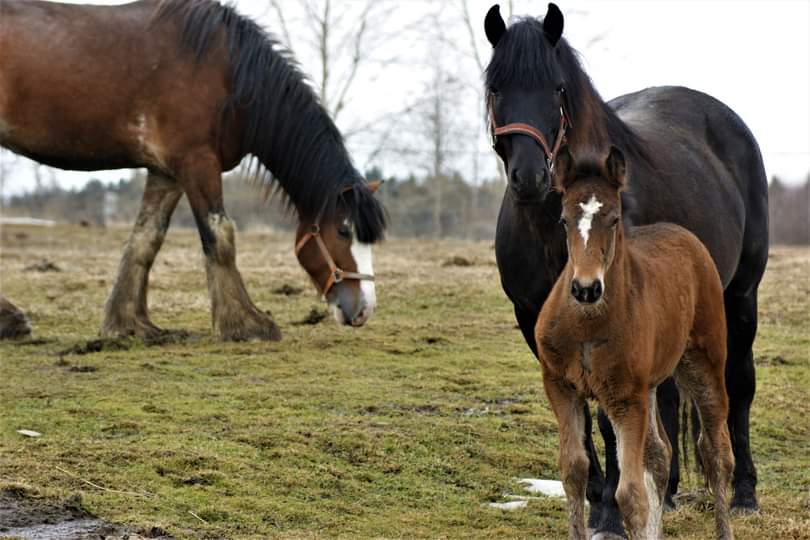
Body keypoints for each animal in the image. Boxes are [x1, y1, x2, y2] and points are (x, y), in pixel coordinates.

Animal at [0, 1, 386, 342]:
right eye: (343, 231)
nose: (363, 309)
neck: (227, 72)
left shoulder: (166, 172)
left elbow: (146, 240)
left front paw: (129, 324)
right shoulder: (197, 162)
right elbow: (220, 236)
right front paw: (245, 323)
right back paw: (12, 321)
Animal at [536, 144, 732, 540]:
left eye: (613, 219)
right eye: (563, 220)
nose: (586, 288)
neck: (587, 324)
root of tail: (686, 236)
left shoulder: (626, 399)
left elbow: (630, 494)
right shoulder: (561, 386)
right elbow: (573, 471)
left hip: (704, 361)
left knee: (715, 450)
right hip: (652, 383)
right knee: (660, 454)